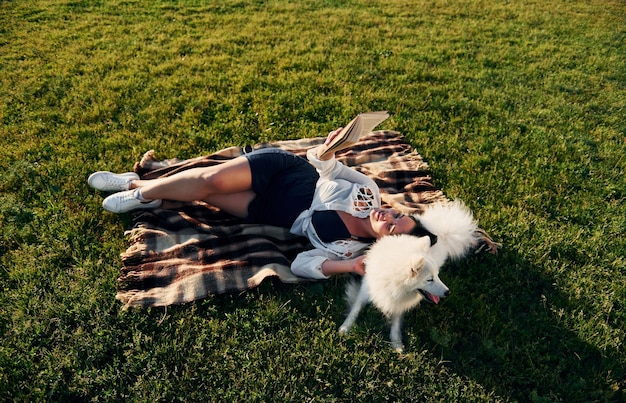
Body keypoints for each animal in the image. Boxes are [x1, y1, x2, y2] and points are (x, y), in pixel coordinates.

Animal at [338, 202, 480, 354]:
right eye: (429, 279)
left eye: (437, 275)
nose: (448, 292)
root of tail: (439, 231)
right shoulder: (367, 289)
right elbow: (355, 308)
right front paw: (345, 327)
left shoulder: (397, 302)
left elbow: (395, 323)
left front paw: (396, 343)